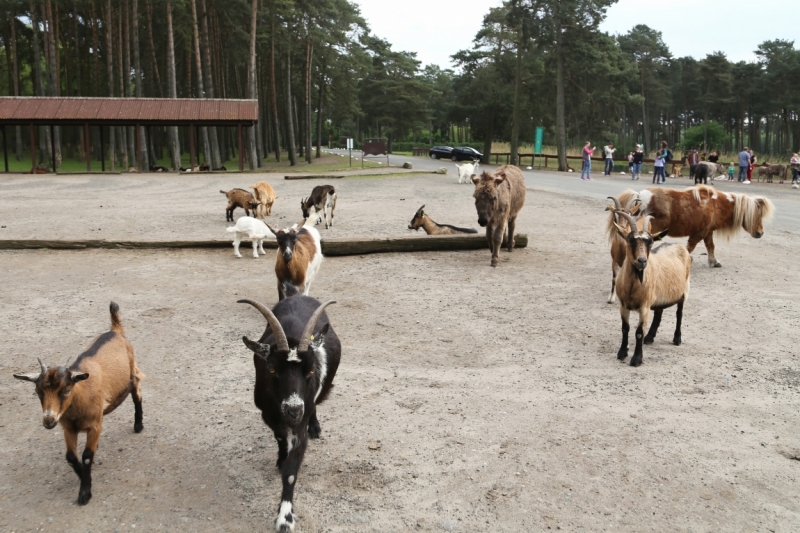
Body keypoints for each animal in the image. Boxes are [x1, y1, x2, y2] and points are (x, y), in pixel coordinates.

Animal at [12, 302, 145, 504]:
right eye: (38, 392)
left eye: (66, 391)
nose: (48, 420)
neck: (79, 398)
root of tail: (115, 331)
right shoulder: (68, 428)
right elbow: (71, 457)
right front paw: (83, 476)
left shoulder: (95, 425)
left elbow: (87, 456)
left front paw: (85, 492)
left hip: (133, 374)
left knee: (137, 396)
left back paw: (138, 425)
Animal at [612, 212, 692, 366]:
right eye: (630, 240)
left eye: (651, 242)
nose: (642, 261)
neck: (633, 288)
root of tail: (679, 245)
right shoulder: (623, 306)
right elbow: (625, 328)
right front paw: (622, 353)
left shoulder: (644, 307)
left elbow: (638, 332)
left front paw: (637, 359)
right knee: (659, 312)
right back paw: (649, 337)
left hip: (684, 291)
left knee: (679, 313)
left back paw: (677, 339)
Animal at [620, 186, 776, 266]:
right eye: (758, 215)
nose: (760, 233)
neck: (716, 205)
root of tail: (639, 196)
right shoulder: (699, 233)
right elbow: (690, 247)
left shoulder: (707, 232)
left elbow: (710, 246)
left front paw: (714, 261)